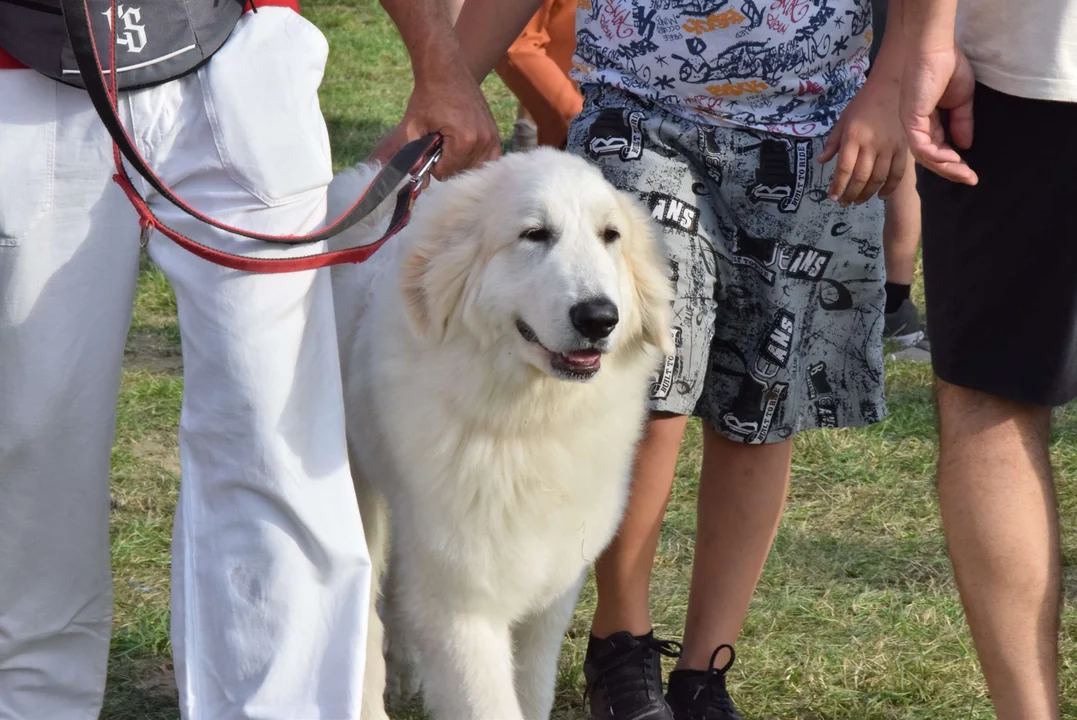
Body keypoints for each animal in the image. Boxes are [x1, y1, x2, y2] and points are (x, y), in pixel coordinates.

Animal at [327, 147, 672, 718]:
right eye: (534, 234)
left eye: (610, 235)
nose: (599, 317)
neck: (527, 422)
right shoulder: (463, 604)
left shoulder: (554, 587)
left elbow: (533, 689)